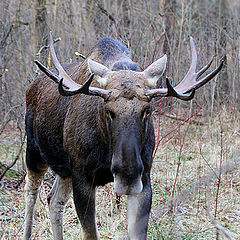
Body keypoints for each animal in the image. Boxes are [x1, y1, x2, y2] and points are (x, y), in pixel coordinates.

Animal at [22, 32, 223, 240]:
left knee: (54, 200)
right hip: (34, 153)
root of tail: (31, 86)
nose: (128, 173)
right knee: (31, 190)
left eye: (147, 110)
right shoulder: (83, 176)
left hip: (65, 170)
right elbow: (90, 234)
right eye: (108, 111)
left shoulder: (144, 179)